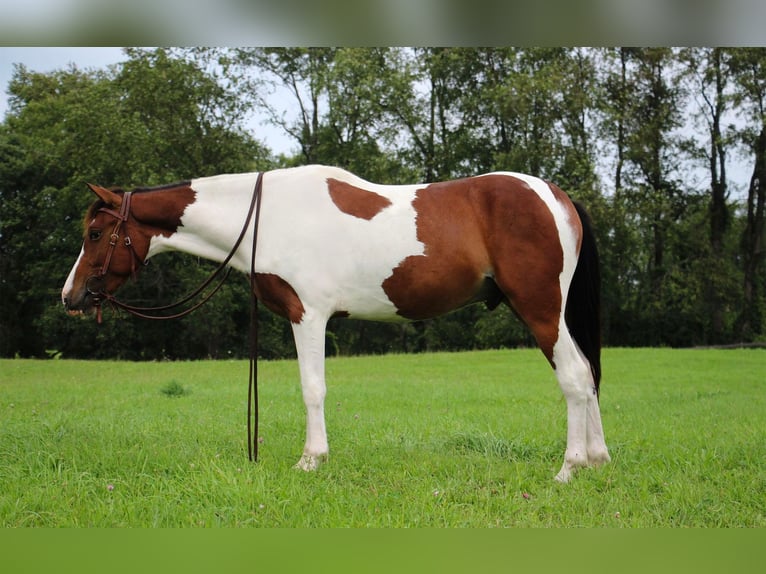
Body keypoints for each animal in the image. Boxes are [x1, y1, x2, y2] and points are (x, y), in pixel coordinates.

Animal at [60, 164, 612, 484]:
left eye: (95, 233)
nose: (70, 296)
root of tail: (556, 197)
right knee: (587, 375)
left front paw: (311, 459)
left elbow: (313, 388)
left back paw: (569, 468)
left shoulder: (308, 314)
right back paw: (598, 459)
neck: (267, 215)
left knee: (573, 377)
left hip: (540, 308)